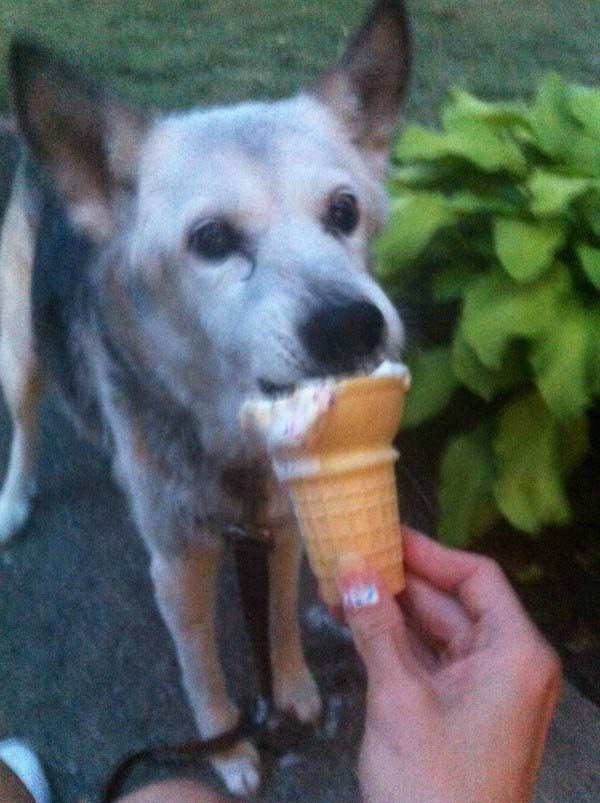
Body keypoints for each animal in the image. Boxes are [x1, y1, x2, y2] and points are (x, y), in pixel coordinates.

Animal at [0, 0, 408, 792]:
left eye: (344, 211)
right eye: (212, 239)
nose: (353, 325)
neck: (231, 440)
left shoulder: (283, 522)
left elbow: (277, 617)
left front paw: (293, 687)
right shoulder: (180, 565)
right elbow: (203, 672)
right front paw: (227, 748)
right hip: (19, 348)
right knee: (28, 421)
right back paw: (15, 496)